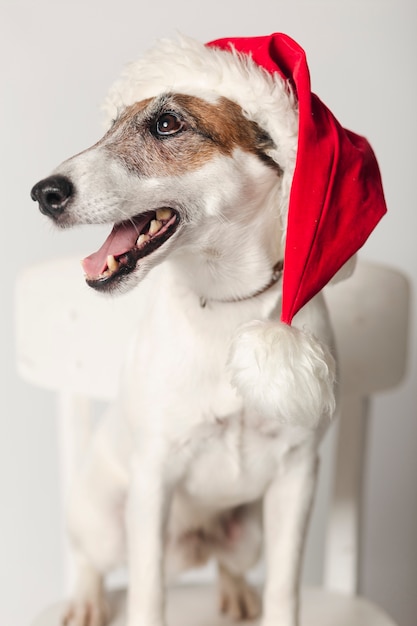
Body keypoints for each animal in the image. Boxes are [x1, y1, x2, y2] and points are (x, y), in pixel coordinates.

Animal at [30, 33, 386, 624]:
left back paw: (235, 591)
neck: (226, 304)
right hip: (104, 516)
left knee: (231, 564)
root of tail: (193, 546)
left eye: (166, 123)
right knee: (89, 558)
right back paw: (86, 599)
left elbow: (284, 591)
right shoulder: (154, 476)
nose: (42, 193)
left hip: (250, 534)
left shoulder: (296, 478)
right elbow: (148, 594)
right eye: (110, 126)